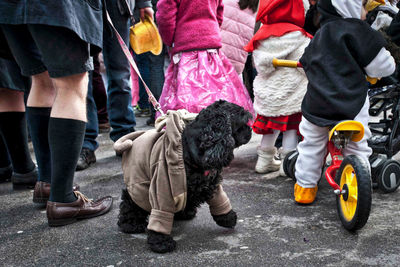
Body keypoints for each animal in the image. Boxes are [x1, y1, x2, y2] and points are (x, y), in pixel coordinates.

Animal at [117, 100, 252, 253]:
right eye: (243, 121)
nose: (250, 130)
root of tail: (135, 139)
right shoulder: (162, 187)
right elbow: (160, 213)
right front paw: (161, 242)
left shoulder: (211, 184)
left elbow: (220, 200)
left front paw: (228, 218)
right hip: (138, 183)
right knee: (130, 201)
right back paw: (130, 224)